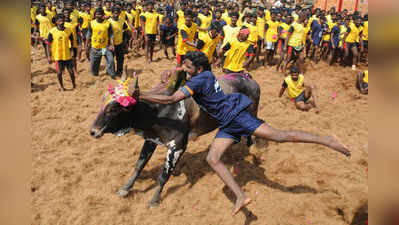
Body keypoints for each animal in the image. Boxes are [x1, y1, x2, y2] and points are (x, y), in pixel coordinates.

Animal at [91, 73, 262, 207]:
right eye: (102, 102)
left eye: (114, 108)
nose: (93, 131)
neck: (157, 112)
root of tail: (248, 78)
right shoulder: (151, 140)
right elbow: (139, 165)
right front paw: (125, 188)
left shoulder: (177, 147)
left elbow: (163, 177)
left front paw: (154, 200)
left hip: (252, 112)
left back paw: (254, 147)